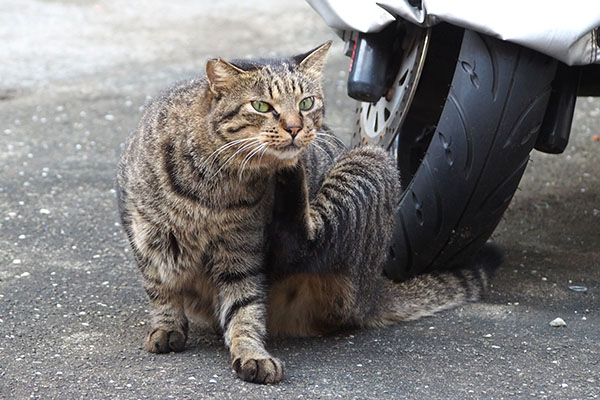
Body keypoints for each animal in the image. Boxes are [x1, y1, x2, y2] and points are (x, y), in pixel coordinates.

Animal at [116, 43, 502, 384]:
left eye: (306, 102)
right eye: (261, 106)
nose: (294, 128)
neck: (218, 180)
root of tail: (373, 290)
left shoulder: (241, 253)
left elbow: (245, 308)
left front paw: (251, 352)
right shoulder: (144, 234)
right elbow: (160, 288)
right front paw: (167, 326)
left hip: (368, 163)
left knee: (303, 241)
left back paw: (293, 172)